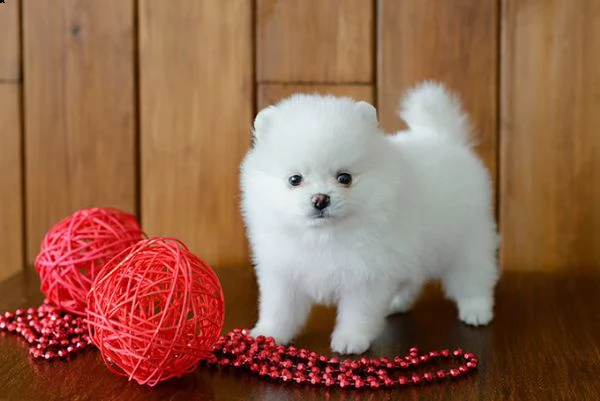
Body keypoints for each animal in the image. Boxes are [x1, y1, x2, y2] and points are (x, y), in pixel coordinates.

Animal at [238, 81, 496, 354]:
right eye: (294, 179)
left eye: (344, 178)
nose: (320, 199)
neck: (325, 236)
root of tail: (443, 137)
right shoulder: (284, 273)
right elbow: (280, 310)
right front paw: (268, 333)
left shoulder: (366, 276)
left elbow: (358, 313)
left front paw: (350, 339)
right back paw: (397, 303)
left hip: (468, 240)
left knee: (474, 276)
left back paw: (476, 310)